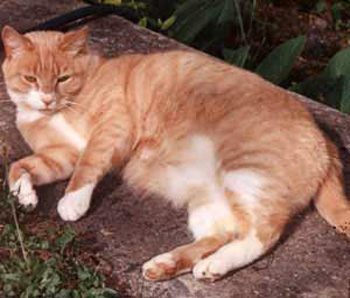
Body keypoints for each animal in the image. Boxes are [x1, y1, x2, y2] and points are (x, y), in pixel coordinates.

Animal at [0, 25, 350, 282]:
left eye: (63, 78)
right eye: (30, 79)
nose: (47, 98)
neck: (56, 111)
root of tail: (323, 137)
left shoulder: (110, 129)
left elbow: (87, 167)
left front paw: (72, 203)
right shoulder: (62, 154)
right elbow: (19, 166)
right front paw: (25, 196)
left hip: (245, 172)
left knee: (263, 234)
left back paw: (212, 264)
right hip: (211, 201)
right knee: (224, 234)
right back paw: (171, 264)